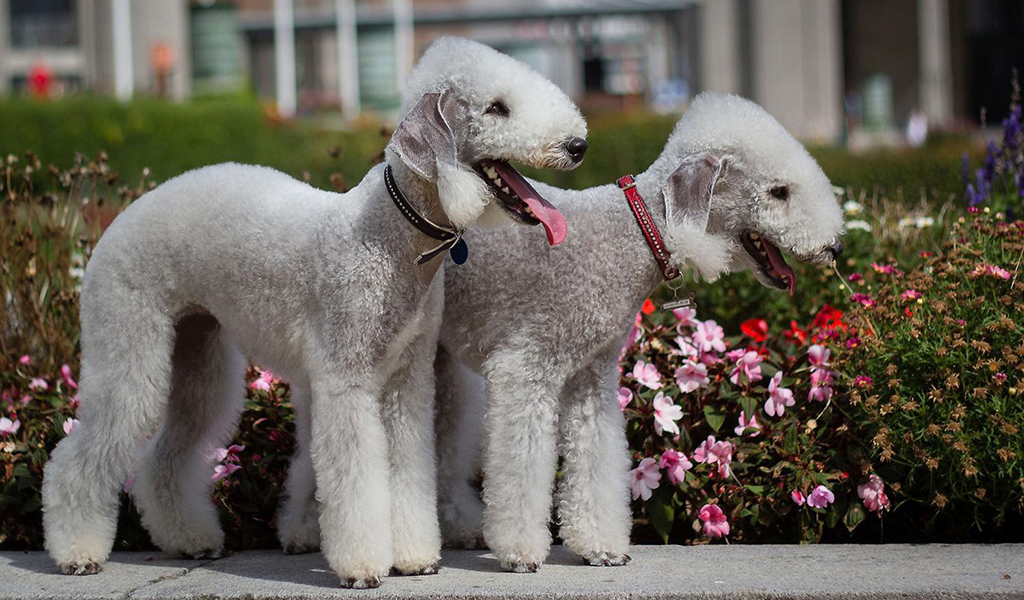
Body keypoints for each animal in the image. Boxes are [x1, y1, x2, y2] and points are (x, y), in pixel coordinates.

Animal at [41, 36, 585, 585]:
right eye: (497, 108)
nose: (578, 146)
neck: (392, 235)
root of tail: (121, 217)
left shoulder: (406, 381)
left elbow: (409, 471)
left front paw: (415, 558)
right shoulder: (345, 379)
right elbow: (356, 477)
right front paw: (363, 566)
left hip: (198, 354)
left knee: (168, 454)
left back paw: (190, 540)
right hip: (128, 343)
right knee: (80, 452)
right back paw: (78, 553)